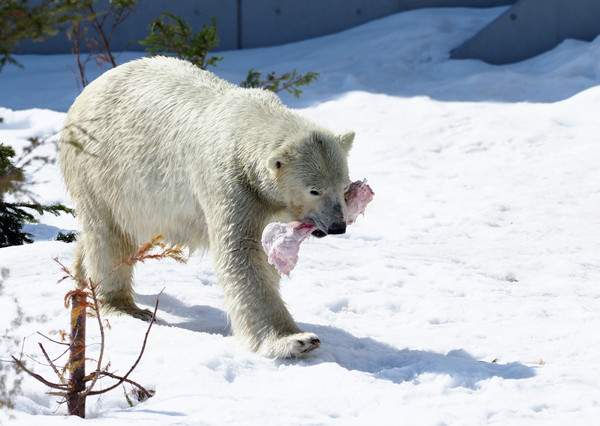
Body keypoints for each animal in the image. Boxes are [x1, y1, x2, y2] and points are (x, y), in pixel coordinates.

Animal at [58, 55, 354, 358]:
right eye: (314, 190)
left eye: (344, 187)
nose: (337, 226)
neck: (248, 124)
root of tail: (86, 92)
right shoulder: (229, 180)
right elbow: (241, 251)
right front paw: (295, 340)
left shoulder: (266, 200)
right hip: (101, 170)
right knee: (110, 237)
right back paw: (124, 306)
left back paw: (80, 280)